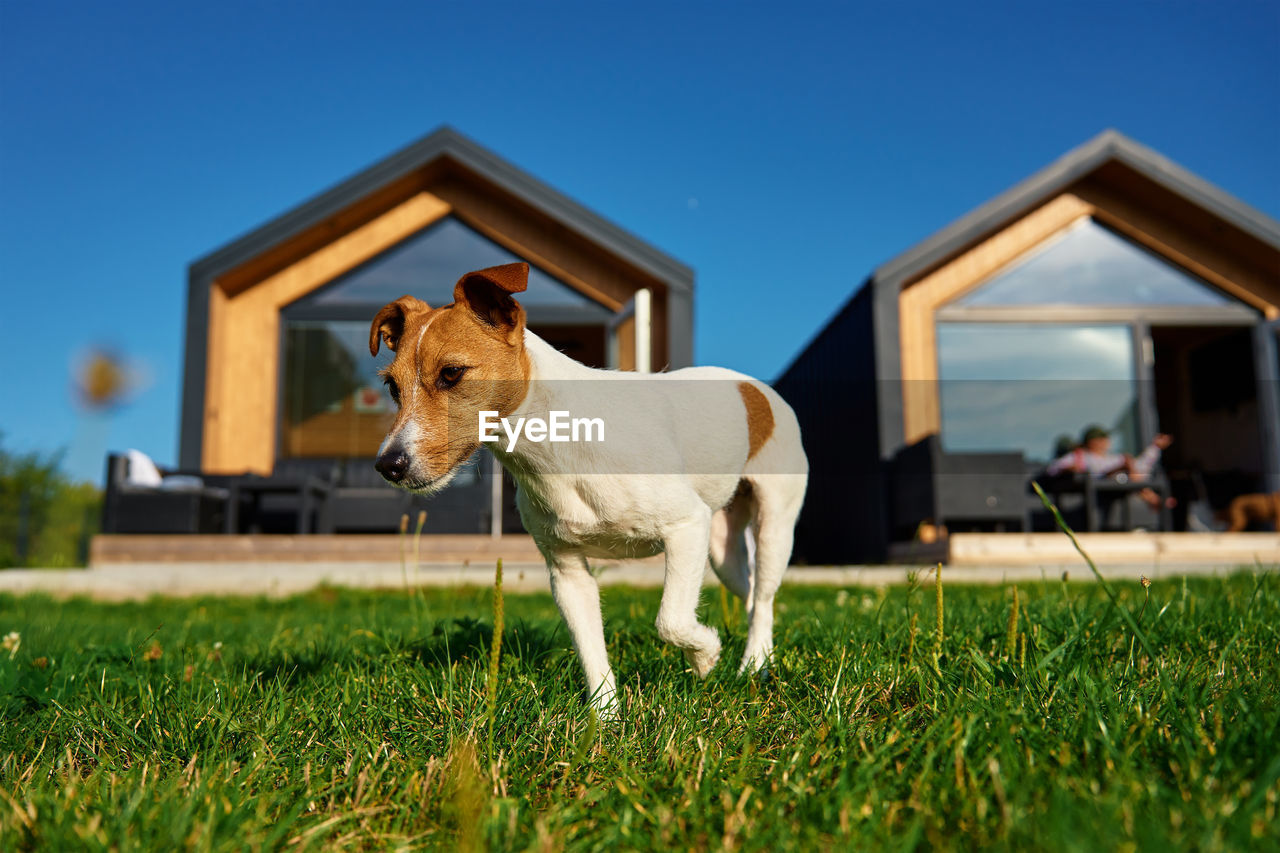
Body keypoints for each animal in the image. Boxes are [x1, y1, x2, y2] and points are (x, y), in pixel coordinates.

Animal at [373, 258, 808, 712]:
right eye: (391, 387)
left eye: (452, 373)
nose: (388, 465)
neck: (560, 444)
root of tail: (755, 387)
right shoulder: (567, 572)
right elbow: (592, 654)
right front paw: (606, 719)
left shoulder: (687, 526)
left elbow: (670, 620)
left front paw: (705, 654)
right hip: (722, 552)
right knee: (752, 595)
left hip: (772, 530)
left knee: (764, 600)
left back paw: (754, 665)